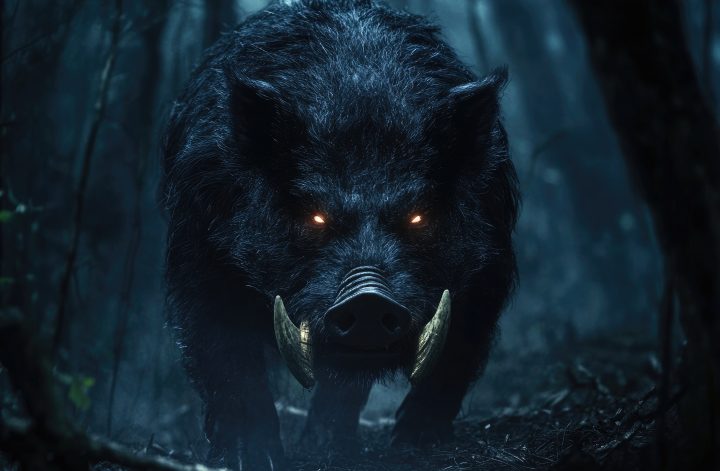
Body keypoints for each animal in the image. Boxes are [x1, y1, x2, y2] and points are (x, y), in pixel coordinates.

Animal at [161, 0, 518, 469]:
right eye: (314, 215)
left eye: (418, 216)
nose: (368, 299)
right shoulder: (201, 252)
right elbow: (224, 353)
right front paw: (250, 455)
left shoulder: (488, 268)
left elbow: (454, 356)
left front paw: (413, 446)